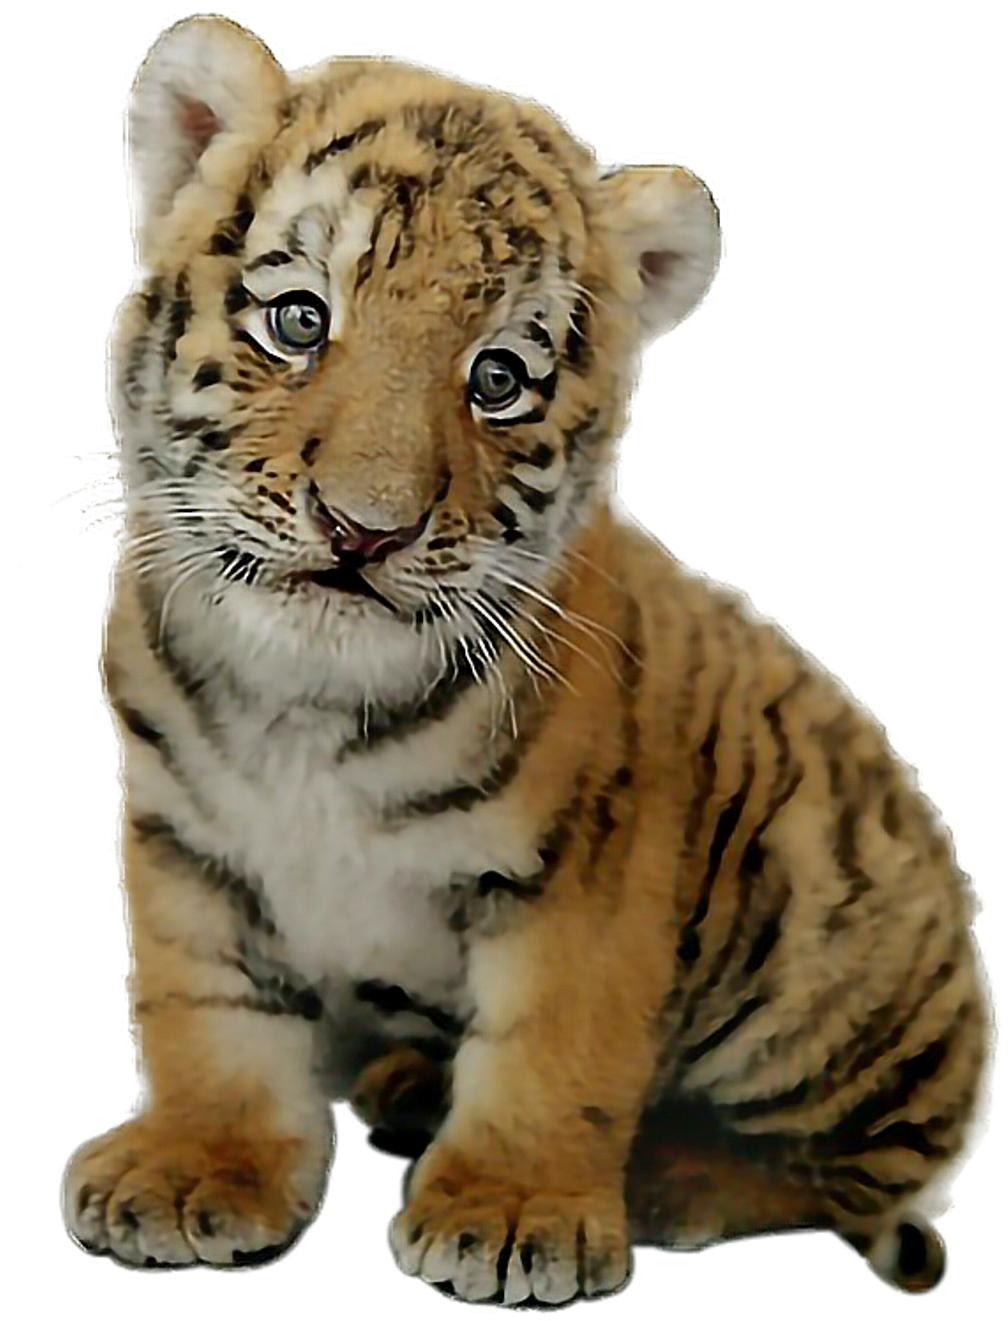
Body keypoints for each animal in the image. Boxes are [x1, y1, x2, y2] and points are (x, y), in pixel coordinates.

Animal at [57, 11, 996, 1301]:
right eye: (299, 321)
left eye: (497, 380)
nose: (365, 529)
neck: (312, 707)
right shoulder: (183, 835)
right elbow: (205, 1010)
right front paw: (195, 1165)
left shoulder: (595, 863)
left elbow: (555, 1043)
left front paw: (509, 1213)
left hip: (826, 926)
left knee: (843, 1172)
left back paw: (668, 1178)